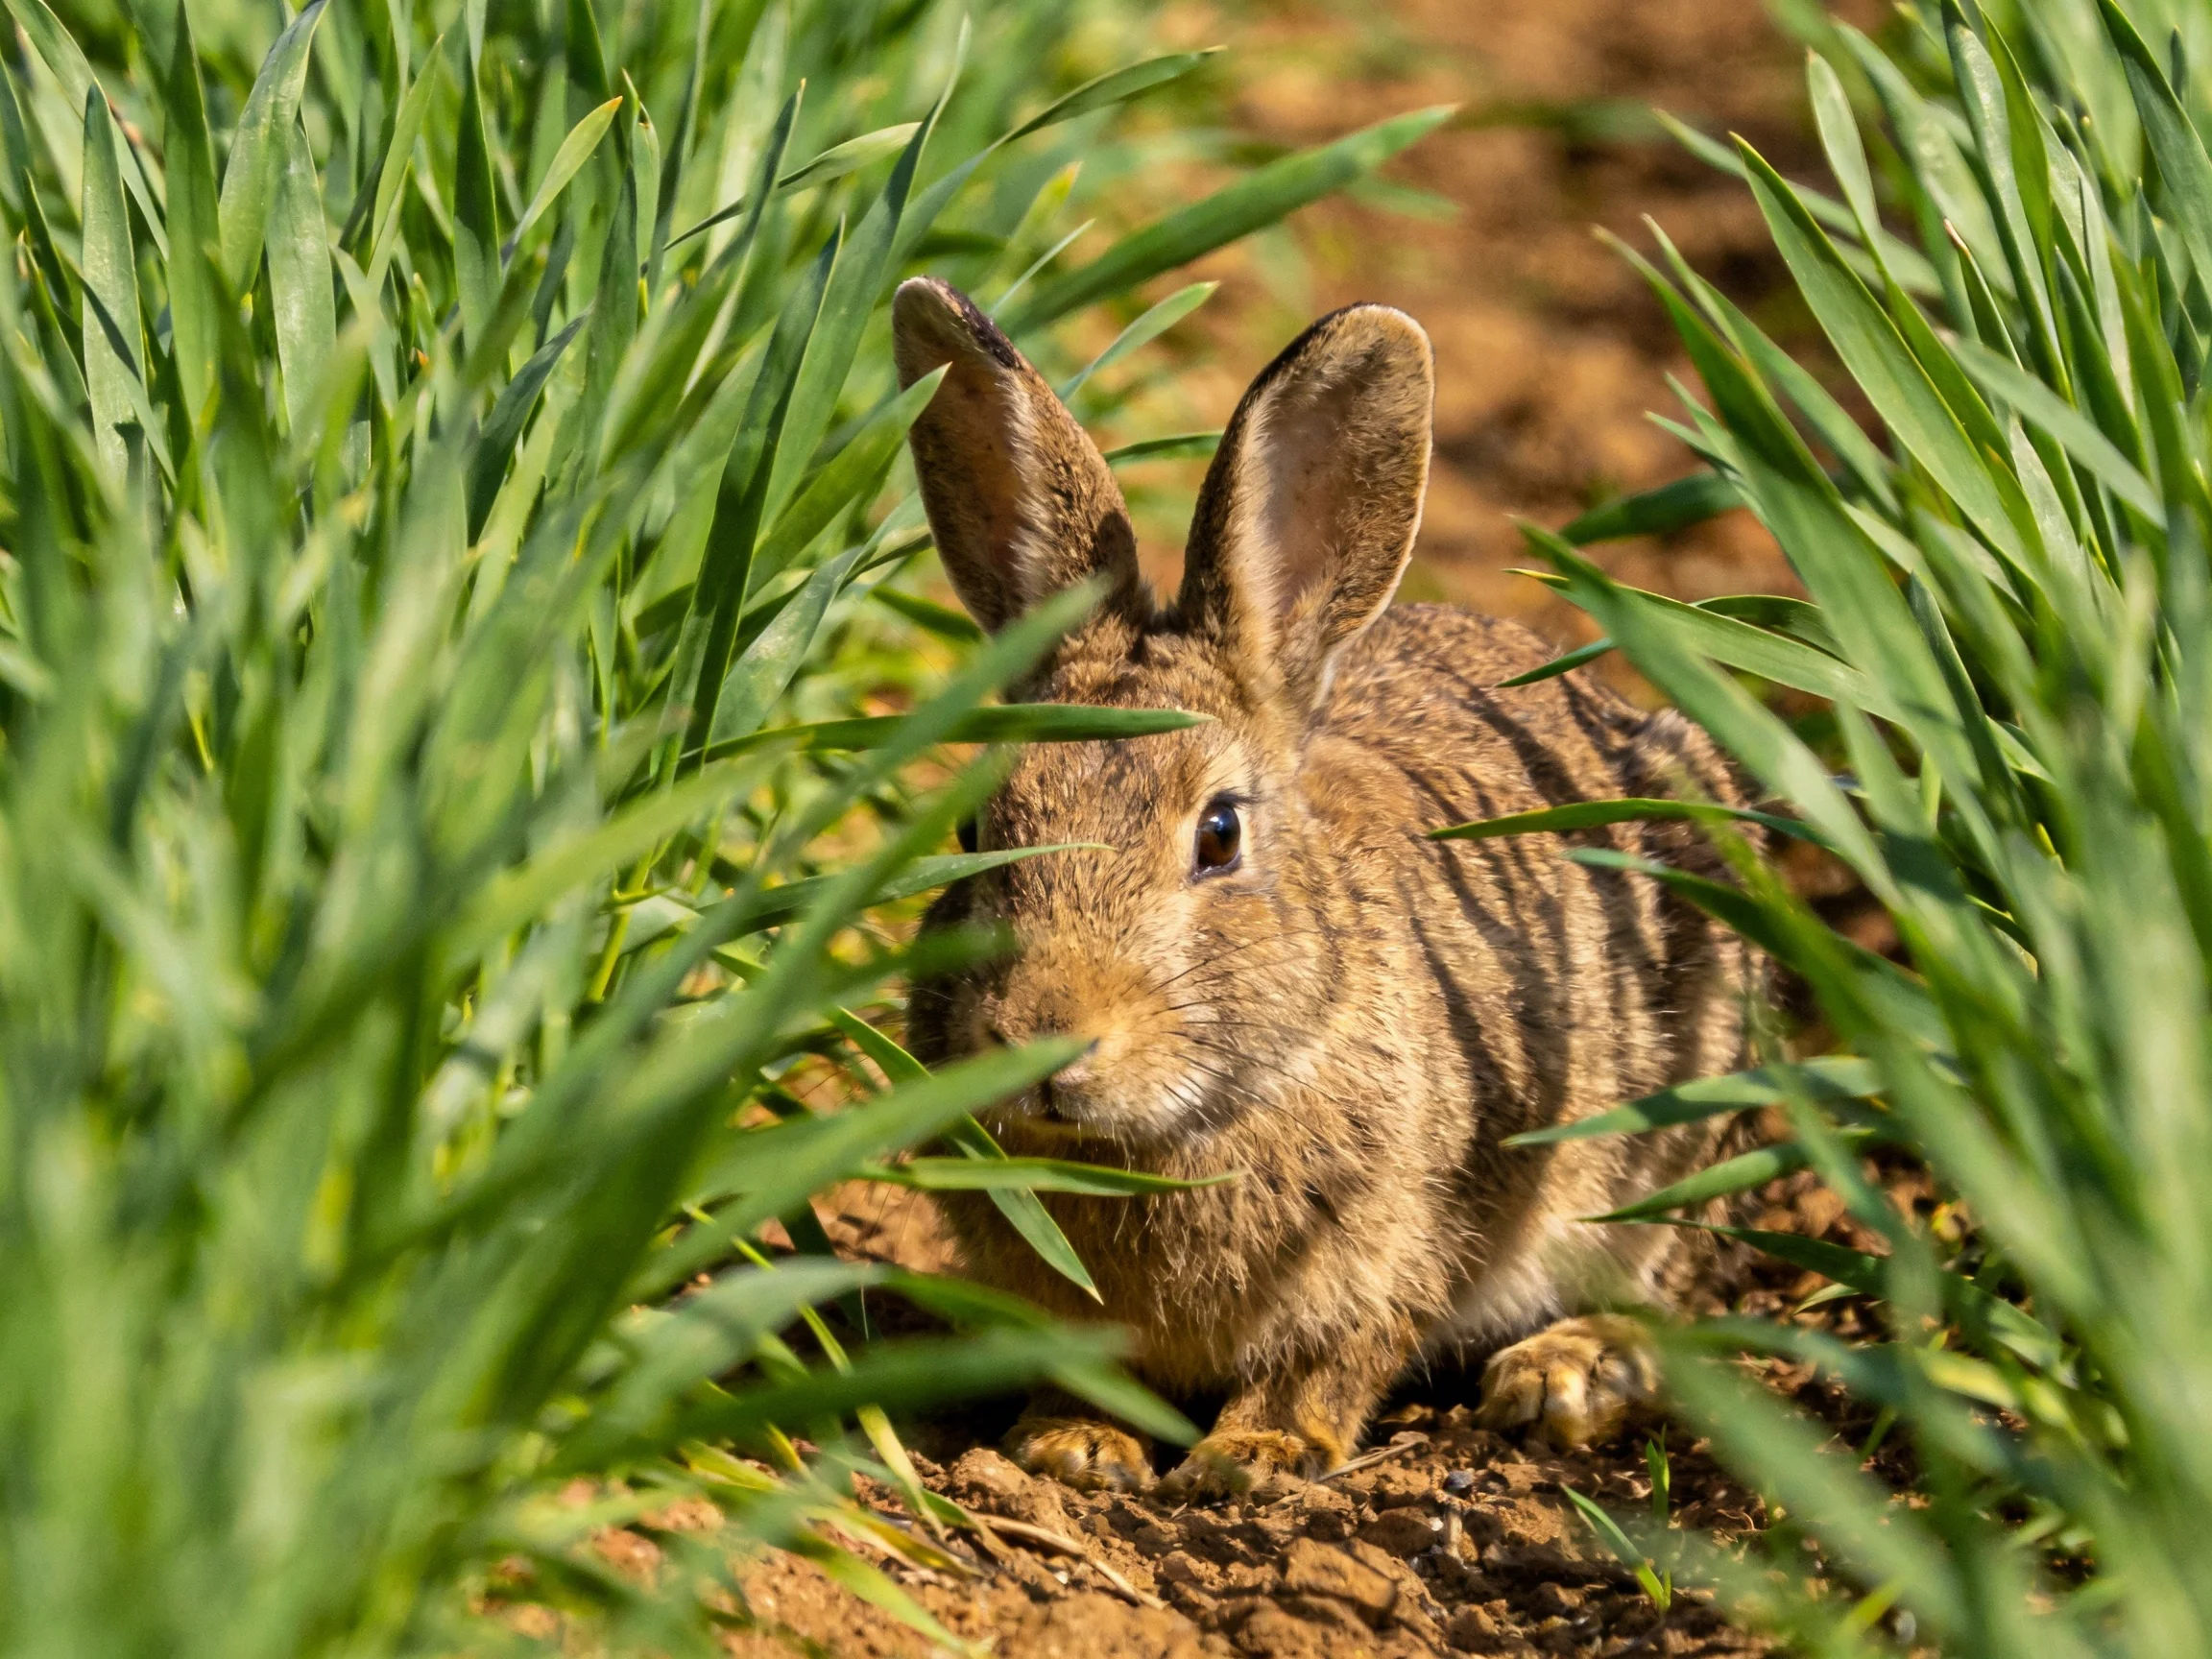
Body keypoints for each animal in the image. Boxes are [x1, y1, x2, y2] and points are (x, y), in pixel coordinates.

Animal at [892, 277, 1758, 1498]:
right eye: (976, 828)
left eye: (1218, 835)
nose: (1043, 1040)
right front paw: (1073, 1445)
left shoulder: (1395, 1245)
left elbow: (1332, 1360)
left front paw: (1252, 1456)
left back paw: (1563, 1375)